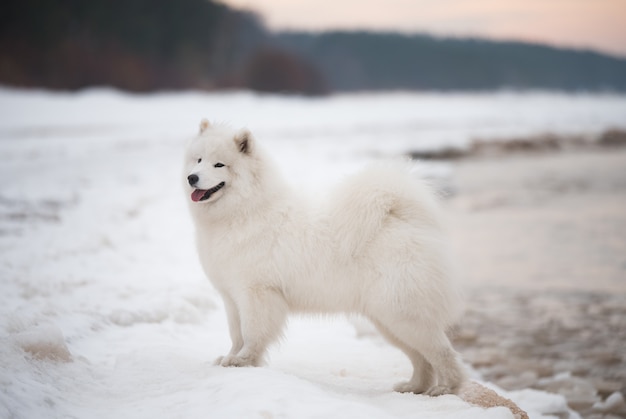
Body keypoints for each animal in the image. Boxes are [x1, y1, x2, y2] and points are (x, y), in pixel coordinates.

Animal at [183, 120, 466, 398]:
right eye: (199, 160)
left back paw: (445, 388)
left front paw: (243, 361)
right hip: (388, 320)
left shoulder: (256, 293)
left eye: (219, 164)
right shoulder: (231, 297)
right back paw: (414, 387)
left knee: (442, 352)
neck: (244, 211)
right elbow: (236, 335)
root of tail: (401, 216)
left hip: (403, 314)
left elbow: (252, 334)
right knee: (422, 359)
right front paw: (230, 358)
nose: (192, 178)